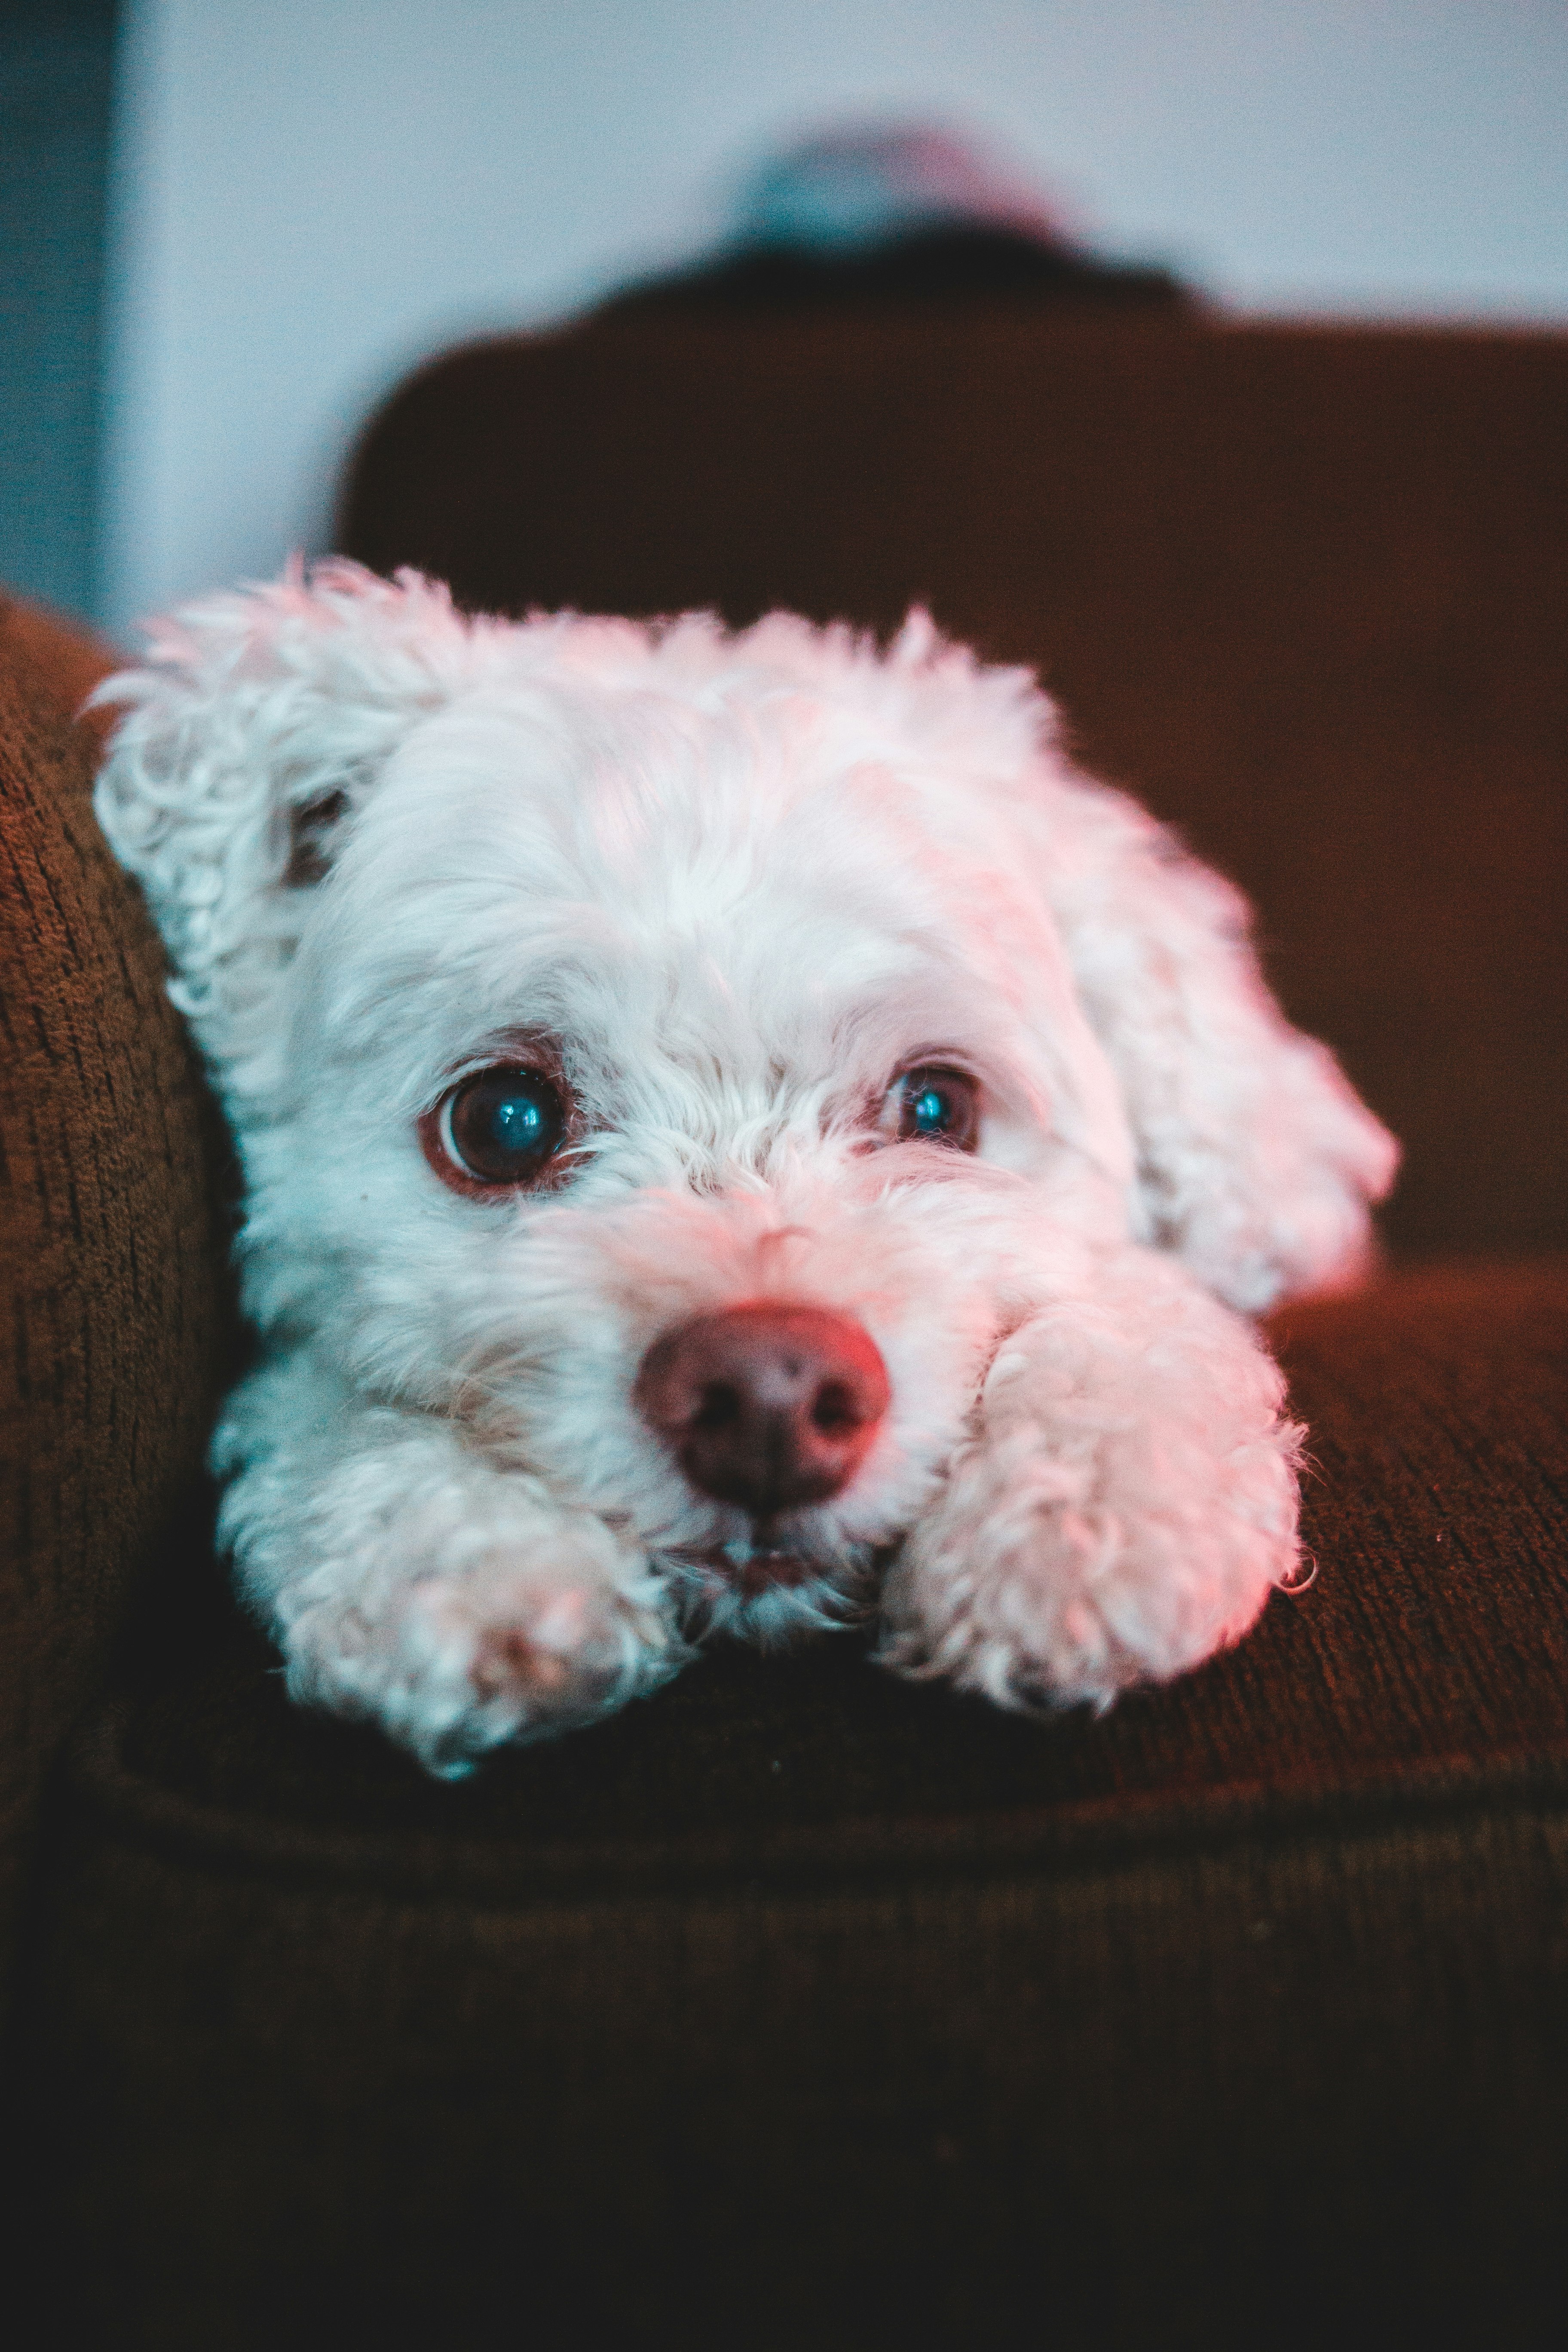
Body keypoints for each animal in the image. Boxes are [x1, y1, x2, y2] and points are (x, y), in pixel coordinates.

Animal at [95, 569, 1401, 1768]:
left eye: (941, 1104)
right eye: (501, 1123)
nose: (771, 1397)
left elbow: (1131, 1315)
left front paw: (1081, 1519)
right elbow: (326, 1398)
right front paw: (468, 1550)